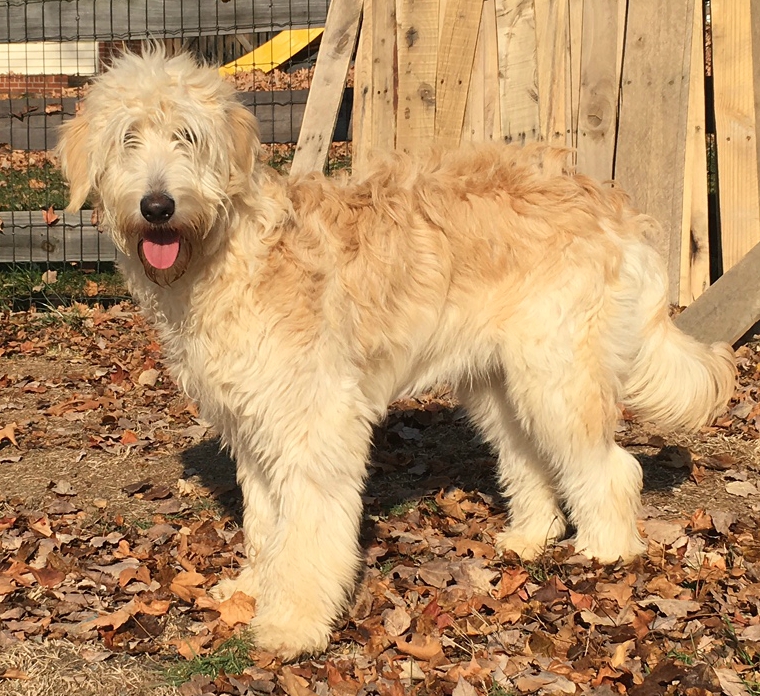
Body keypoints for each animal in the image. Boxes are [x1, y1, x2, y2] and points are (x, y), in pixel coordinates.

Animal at [55, 49, 736, 656]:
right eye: (128, 139)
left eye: (188, 137)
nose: (157, 207)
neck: (230, 249)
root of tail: (612, 203)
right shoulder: (255, 428)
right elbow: (266, 525)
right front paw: (252, 588)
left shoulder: (315, 426)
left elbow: (306, 533)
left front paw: (292, 625)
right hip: (502, 384)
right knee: (529, 459)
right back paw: (528, 538)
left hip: (559, 377)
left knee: (612, 468)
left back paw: (606, 553)